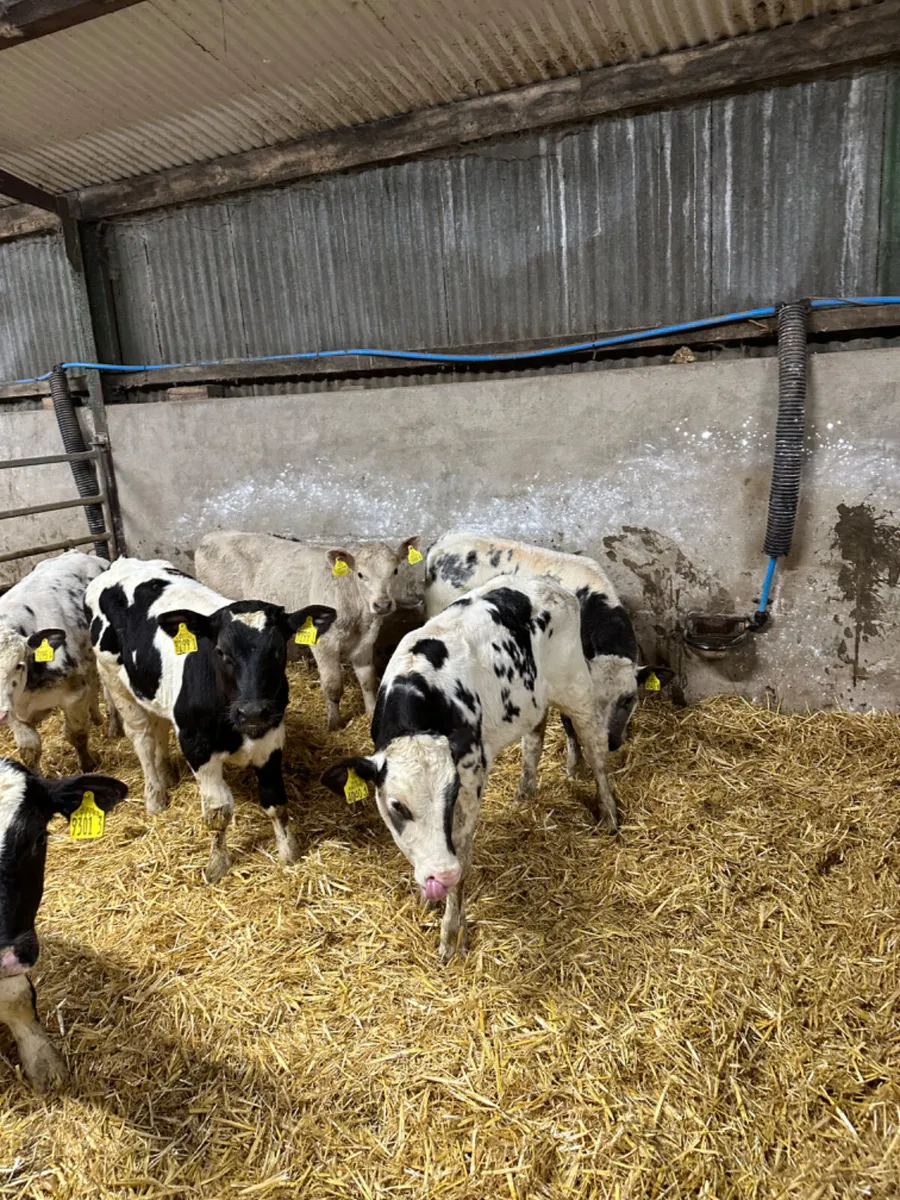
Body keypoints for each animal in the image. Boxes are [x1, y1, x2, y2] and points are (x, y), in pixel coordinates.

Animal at [0, 551, 121, 774]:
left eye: (19, 665)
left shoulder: (74, 695)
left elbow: (76, 734)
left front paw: (88, 764)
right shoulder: (11, 709)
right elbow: (29, 749)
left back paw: (113, 727)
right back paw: (96, 718)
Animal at [85, 558, 336, 883]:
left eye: (278, 649)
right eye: (220, 651)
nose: (252, 711)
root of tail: (123, 562)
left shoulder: (271, 739)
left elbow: (275, 802)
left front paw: (289, 853)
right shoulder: (197, 746)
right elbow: (218, 813)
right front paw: (217, 864)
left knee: (160, 728)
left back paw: (167, 774)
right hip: (116, 684)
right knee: (143, 740)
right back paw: (155, 796)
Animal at [195, 532, 422, 731]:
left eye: (395, 571)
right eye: (360, 574)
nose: (382, 604)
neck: (357, 612)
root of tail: (209, 537)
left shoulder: (365, 641)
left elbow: (368, 680)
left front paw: (371, 712)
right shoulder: (324, 642)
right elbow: (333, 685)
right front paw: (334, 723)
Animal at [322, 576, 619, 961]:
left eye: (450, 799)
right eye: (397, 806)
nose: (442, 874)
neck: (418, 687)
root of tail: (550, 584)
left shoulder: (470, 780)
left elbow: (462, 854)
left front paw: (451, 934)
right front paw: (428, 898)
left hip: (577, 688)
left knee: (596, 750)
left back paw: (609, 815)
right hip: (531, 701)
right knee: (535, 735)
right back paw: (525, 791)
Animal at [424, 532, 671, 777]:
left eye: (629, 698)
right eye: (593, 697)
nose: (610, 742)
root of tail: (444, 540)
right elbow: (568, 724)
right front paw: (574, 765)